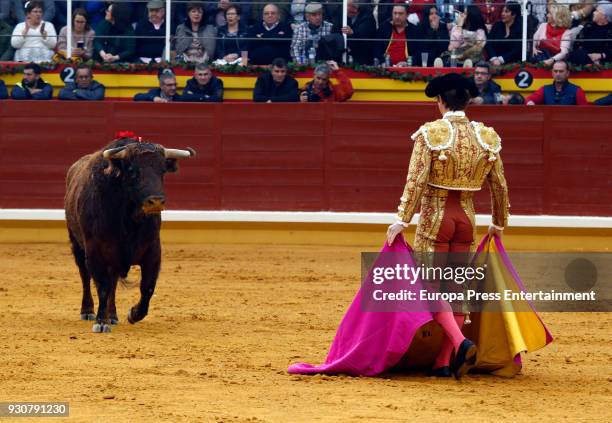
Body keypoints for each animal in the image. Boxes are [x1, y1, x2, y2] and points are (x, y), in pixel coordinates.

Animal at [65, 137, 195, 332]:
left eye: (162, 170)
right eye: (133, 170)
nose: (156, 201)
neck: (129, 218)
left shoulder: (153, 251)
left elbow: (147, 287)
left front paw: (133, 314)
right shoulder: (95, 252)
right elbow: (102, 286)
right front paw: (100, 321)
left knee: (113, 282)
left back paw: (112, 315)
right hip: (77, 245)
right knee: (85, 276)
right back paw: (88, 311)